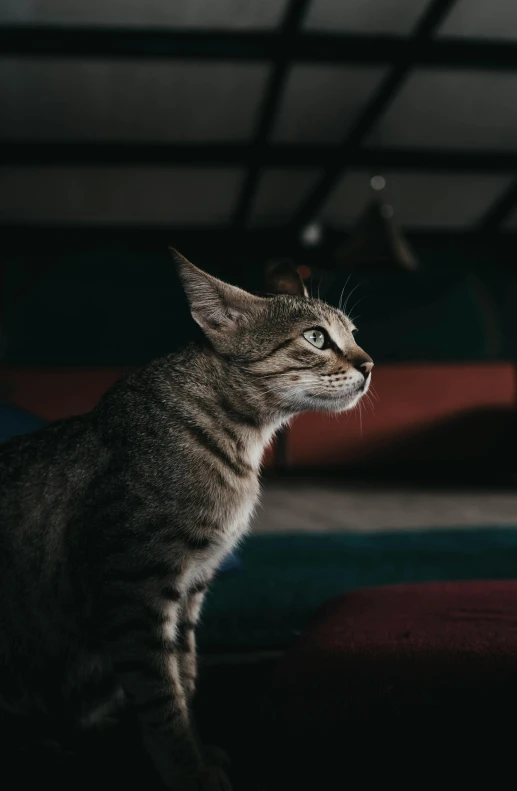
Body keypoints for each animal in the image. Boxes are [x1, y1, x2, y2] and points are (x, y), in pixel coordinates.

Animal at [0, 249, 372, 791]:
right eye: (316, 337)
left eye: (354, 334)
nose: (369, 363)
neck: (241, 439)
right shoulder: (134, 590)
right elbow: (160, 694)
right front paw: (184, 769)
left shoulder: (190, 589)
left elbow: (186, 676)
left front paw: (194, 751)